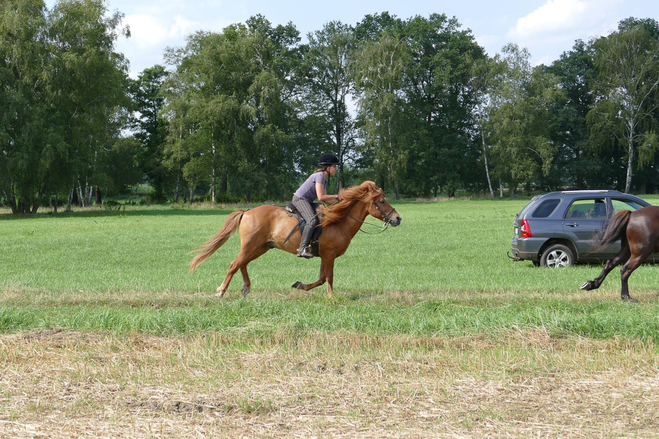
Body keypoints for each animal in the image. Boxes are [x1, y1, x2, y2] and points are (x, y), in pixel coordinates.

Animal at [188, 180, 400, 298]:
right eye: (382, 201)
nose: (398, 218)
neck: (340, 221)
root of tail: (247, 212)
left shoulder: (324, 256)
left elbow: (321, 278)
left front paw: (301, 286)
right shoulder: (329, 255)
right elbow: (328, 277)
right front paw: (331, 296)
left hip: (260, 247)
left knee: (242, 264)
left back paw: (246, 288)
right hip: (251, 246)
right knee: (234, 264)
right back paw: (221, 291)